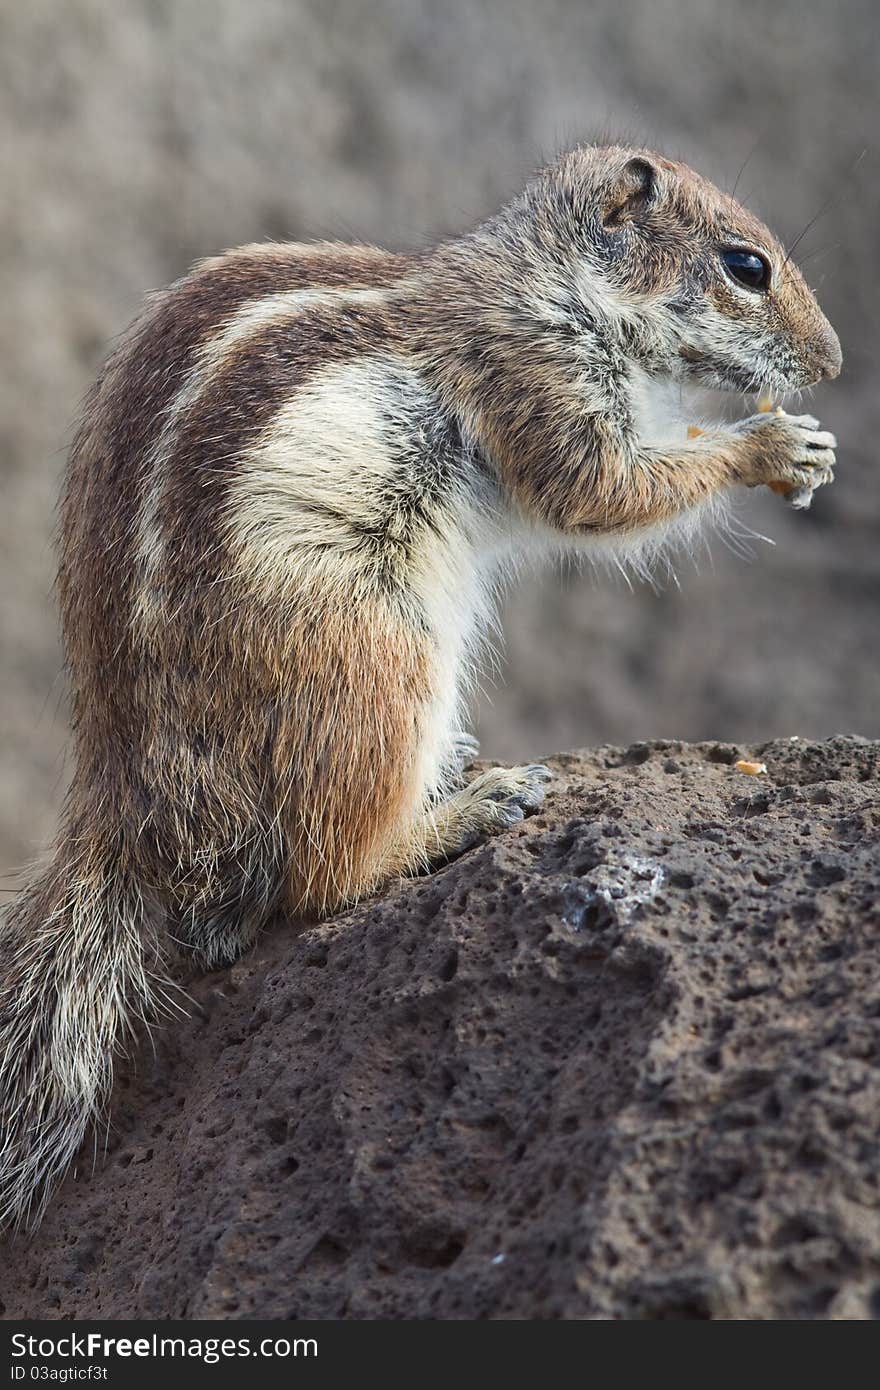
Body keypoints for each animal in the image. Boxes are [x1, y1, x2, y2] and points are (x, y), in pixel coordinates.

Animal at [0, 143, 839, 1228]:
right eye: (746, 267)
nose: (831, 361)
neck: (551, 280)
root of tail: (127, 793)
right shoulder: (537, 383)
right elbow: (604, 492)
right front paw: (773, 447)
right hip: (378, 662)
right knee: (322, 877)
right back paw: (465, 810)